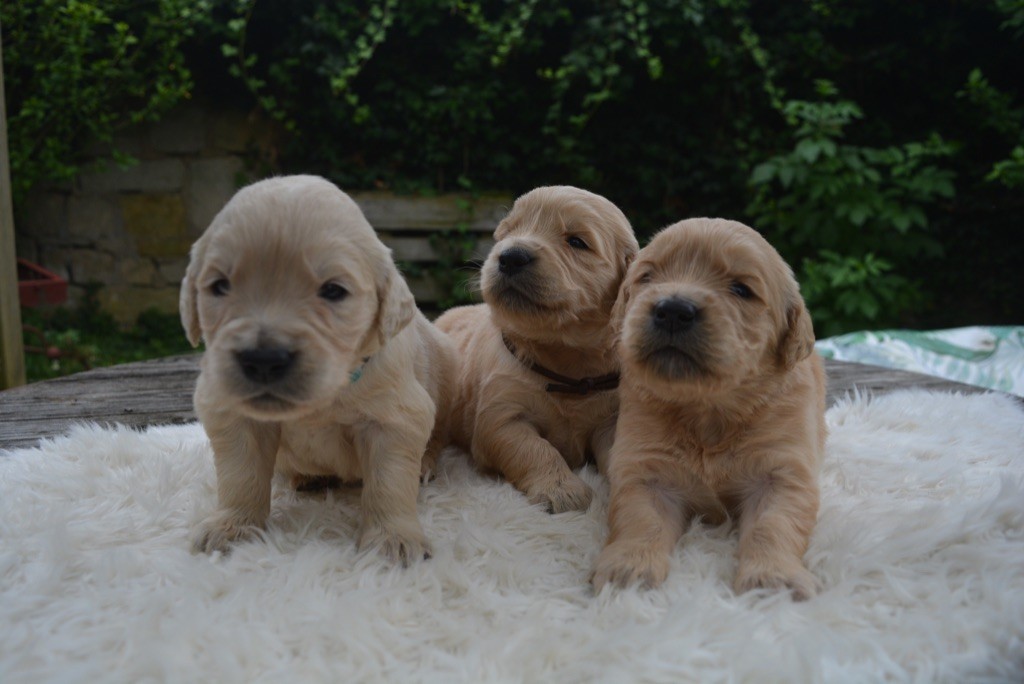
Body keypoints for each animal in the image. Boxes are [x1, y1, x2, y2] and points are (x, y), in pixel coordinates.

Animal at [182, 174, 454, 565]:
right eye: (220, 286)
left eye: (333, 291)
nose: (264, 359)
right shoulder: (233, 414)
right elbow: (240, 476)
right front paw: (233, 524)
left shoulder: (396, 418)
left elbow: (389, 481)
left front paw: (393, 538)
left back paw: (425, 465)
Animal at [434, 187, 638, 511]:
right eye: (508, 233)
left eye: (576, 242)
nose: (510, 256)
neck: (563, 357)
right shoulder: (499, 418)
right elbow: (534, 448)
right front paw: (561, 489)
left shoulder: (610, 421)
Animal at [593, 218, 823, 597]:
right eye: (647, 276)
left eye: (742, 289)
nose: (672, 310)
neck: (708, 409)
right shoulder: (645, 471)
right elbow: (641, 521)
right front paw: (629, 568)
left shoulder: (782, 471)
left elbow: (773, 525)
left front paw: (772, 578)